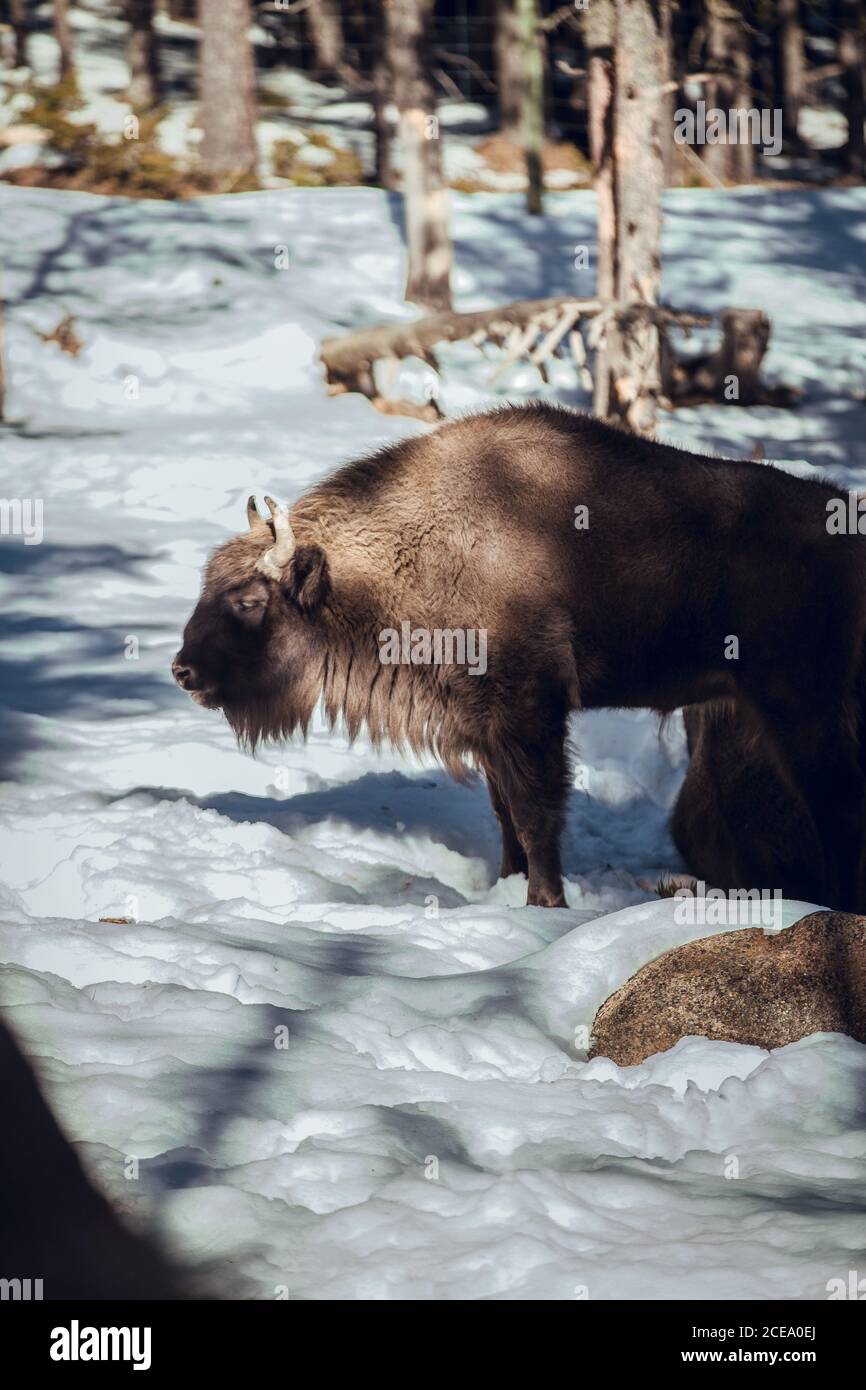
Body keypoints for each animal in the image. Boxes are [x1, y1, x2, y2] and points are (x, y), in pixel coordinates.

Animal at [173, 403, 866, 911]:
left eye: (250, 600)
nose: (182, 670)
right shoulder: (484, 722)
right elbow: (506, 813)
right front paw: (509, 888)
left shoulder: (530, 711)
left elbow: (537, 814)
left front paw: (545, 903)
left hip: (801, 709)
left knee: (834, 805)